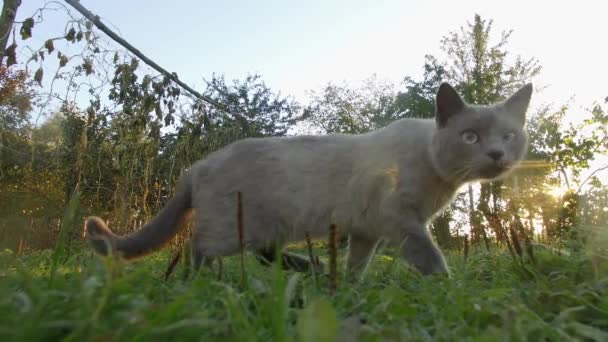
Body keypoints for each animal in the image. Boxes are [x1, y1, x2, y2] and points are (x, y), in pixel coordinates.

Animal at [85, 83, 532, 278]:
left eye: (509, 135)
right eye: (470, 137)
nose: (497, 153)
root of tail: (197, 166)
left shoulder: (368, 229)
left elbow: (358, 264)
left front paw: (350, 289)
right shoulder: (400, 220)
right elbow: (429, 255)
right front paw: (446, 287)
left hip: (267, 224)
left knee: (266, 253)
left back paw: (311, 270)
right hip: (235, 225)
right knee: (200, 249)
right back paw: (199, 284)